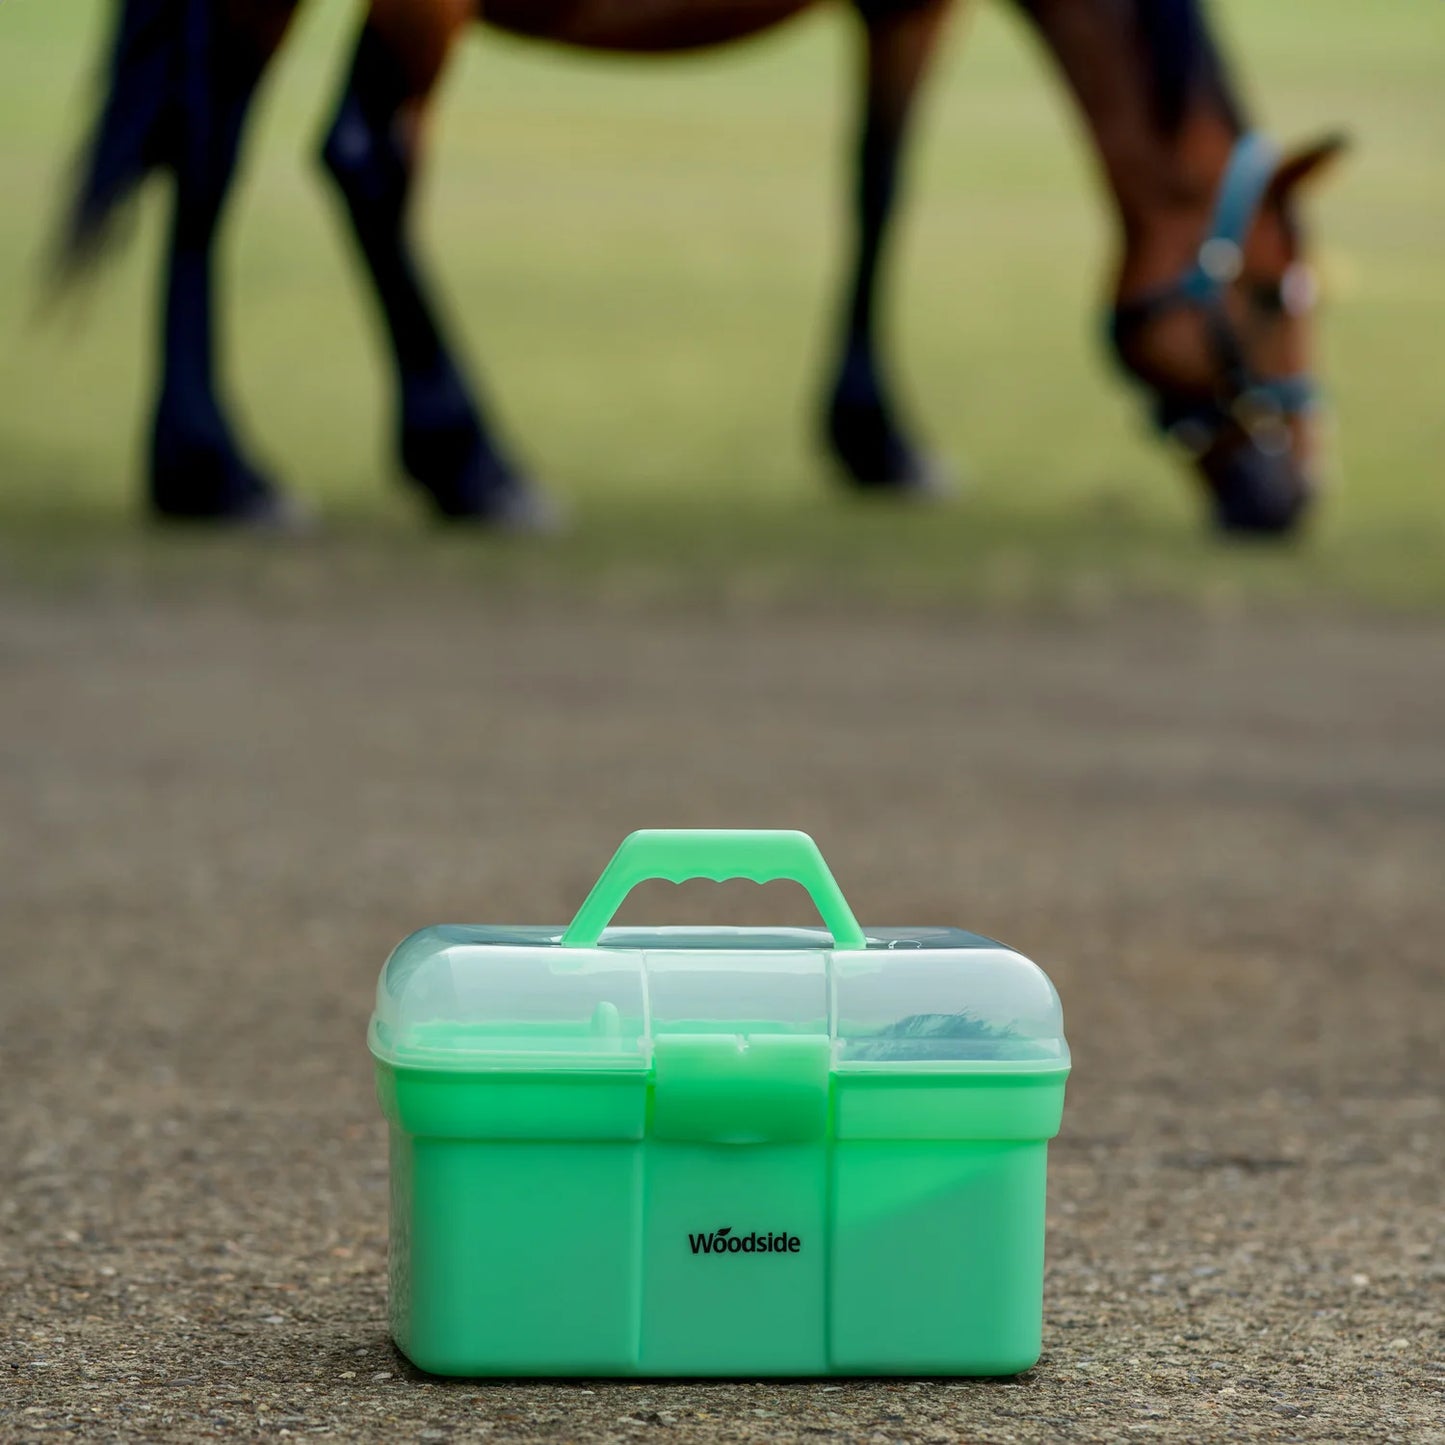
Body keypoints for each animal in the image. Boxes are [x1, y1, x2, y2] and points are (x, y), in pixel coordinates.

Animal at [57, 0, 1343, 534]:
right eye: (1267, 293)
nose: (1293, 498)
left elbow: (868, 178)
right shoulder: (910, 8)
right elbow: (880, 182)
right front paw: (879, 438)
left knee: (204, 149)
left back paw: (210, 467)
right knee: (365, 154)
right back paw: (471, 464)